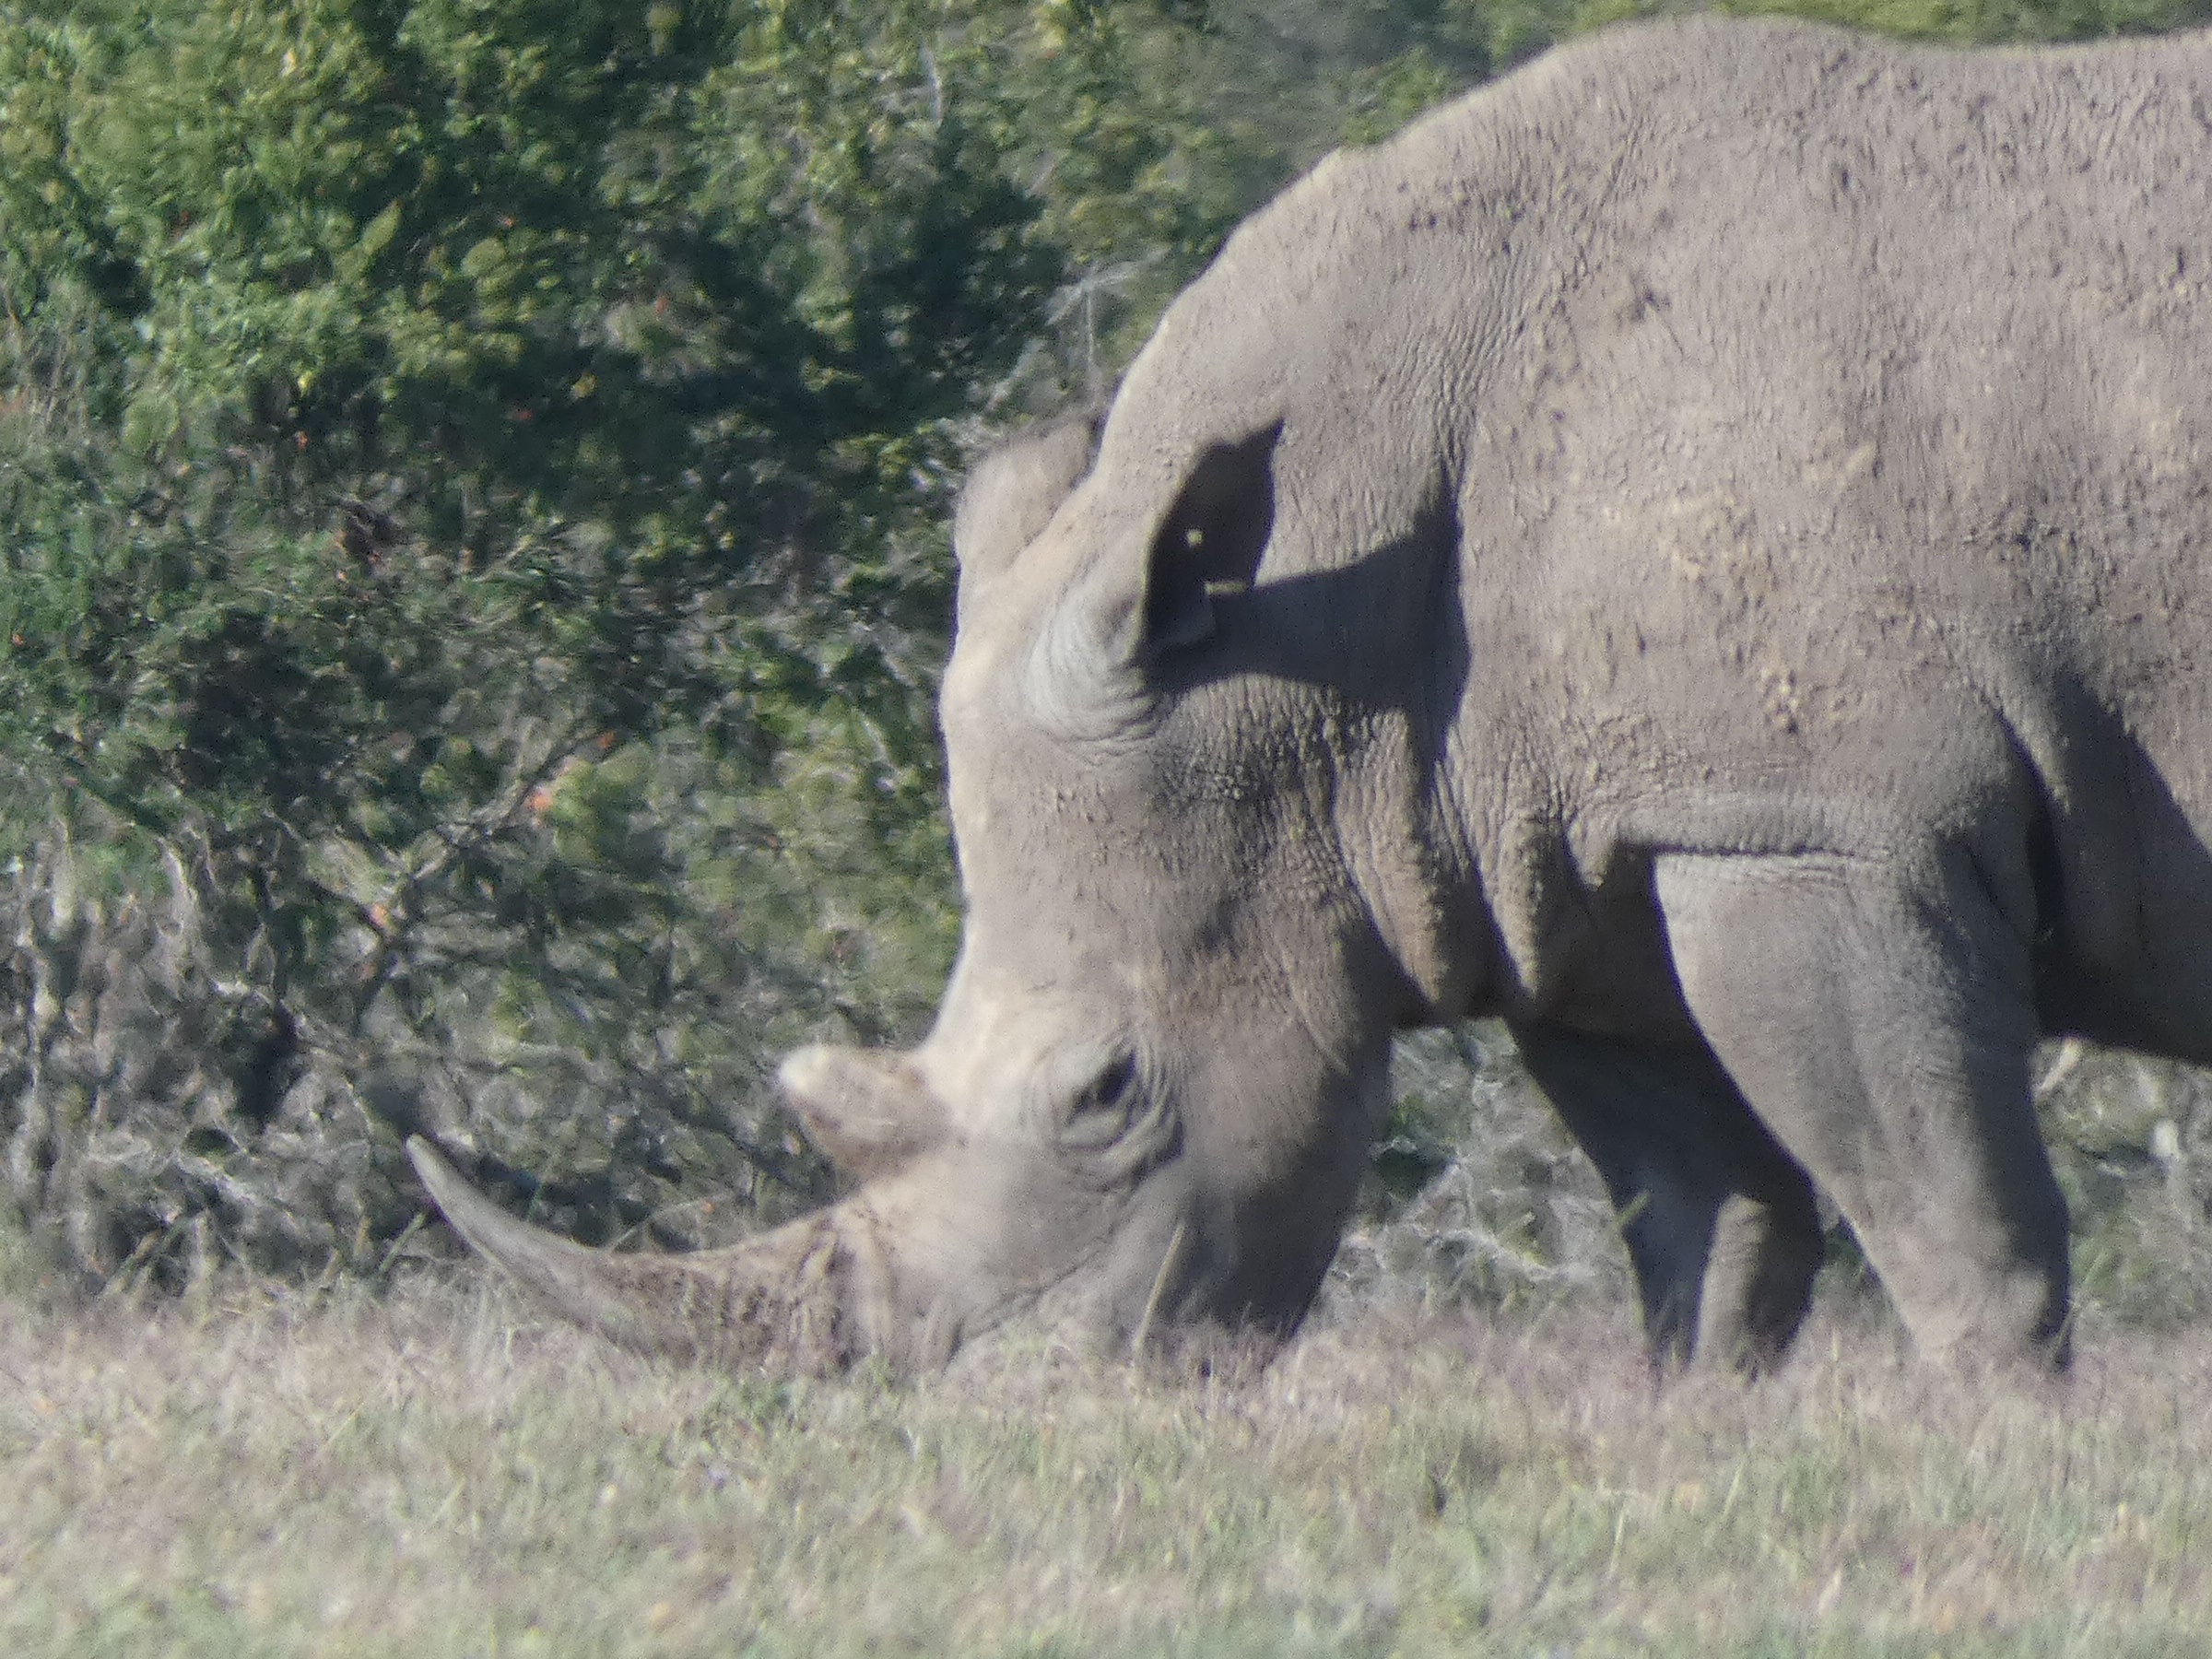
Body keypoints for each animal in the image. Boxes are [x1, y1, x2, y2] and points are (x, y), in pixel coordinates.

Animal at [411, 15, 2212, 1376]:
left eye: (1105, 1095)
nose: (1001, 1417)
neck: (1310, 647)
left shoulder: (1807, 821)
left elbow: (1953, 1230)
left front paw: (1998, 1453)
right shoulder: (1577, 867)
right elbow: (1710, 1240)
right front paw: (1702, 1450)